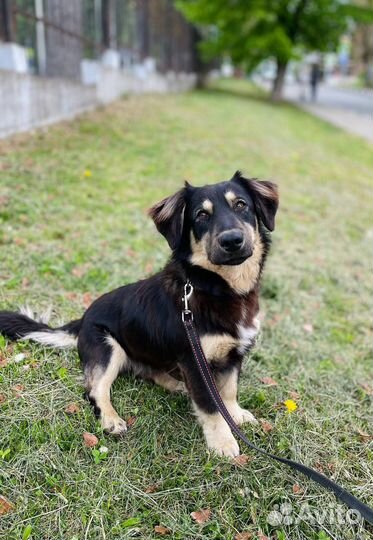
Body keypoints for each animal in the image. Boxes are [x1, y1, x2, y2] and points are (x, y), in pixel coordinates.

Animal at [0, 172, 276, 456]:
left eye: (241, 205)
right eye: (201, 215)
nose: (232, 241)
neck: (217, 288)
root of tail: (82, 319)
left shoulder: (235, 352)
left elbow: (229, 390)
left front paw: (235, 415)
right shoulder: (194, 360)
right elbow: (210, 406)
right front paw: (222, 442)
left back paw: (176, 385)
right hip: (108, 347)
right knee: (95, 390)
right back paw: (111, 419)